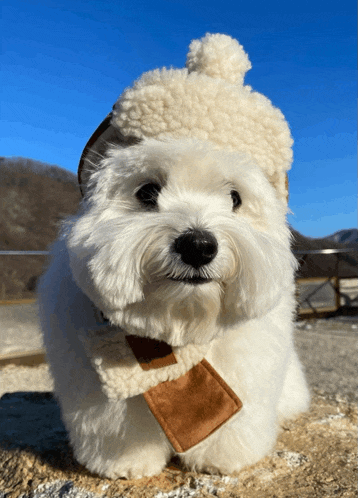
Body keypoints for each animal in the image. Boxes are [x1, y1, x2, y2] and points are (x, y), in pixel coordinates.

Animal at [37, 34, 310, 478]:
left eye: (235, 198)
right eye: (147, 192)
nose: (198, 245)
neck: (178, 330)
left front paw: (222, 458)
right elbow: (117, 428)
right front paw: (124, 464)